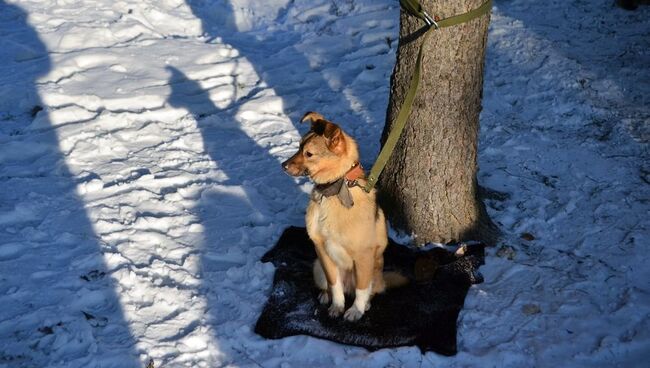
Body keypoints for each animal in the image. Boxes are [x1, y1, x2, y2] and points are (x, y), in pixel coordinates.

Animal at [282, 110, 402, 320]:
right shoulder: (322, 251)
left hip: (375, 272)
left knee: (369, 289)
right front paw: (337, 306)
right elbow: (334, 284)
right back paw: (325, 295)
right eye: (298, 146)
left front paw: (356, 311)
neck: (333, 192)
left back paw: (366, 304)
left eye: (309, 153)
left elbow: (362, 289)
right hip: (317, 267)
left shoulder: (363, 256)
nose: (283, 166)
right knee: (331, 285)